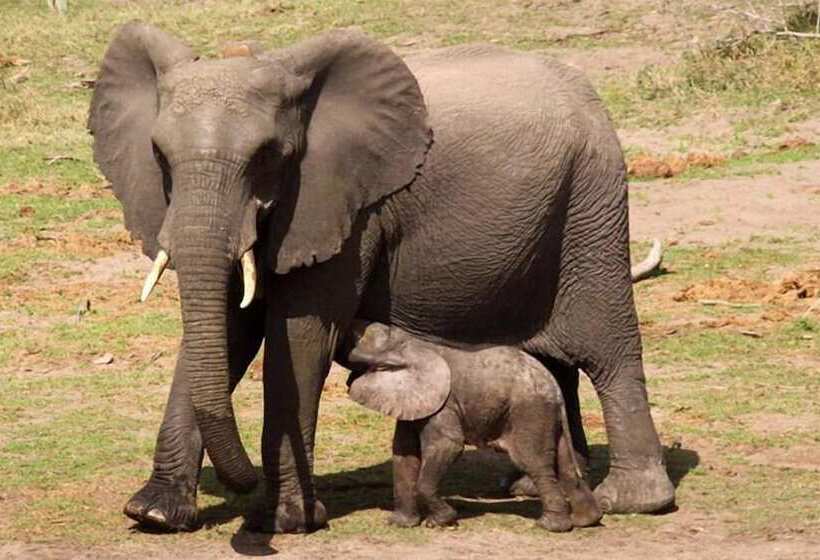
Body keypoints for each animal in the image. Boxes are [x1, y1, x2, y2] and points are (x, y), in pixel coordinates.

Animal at [339, 321, 603, 532]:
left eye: (364, 339)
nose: (351, 326)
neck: (412, 344)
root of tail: (555, 389)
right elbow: (404, 456)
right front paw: (400, 524)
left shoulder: (444, 405)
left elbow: (447, 446)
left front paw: (441, 522)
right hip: (547, 415)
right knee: (565, 465)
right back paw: (585, 521)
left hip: (530, 412)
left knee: (534, 462)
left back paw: (550, 526)